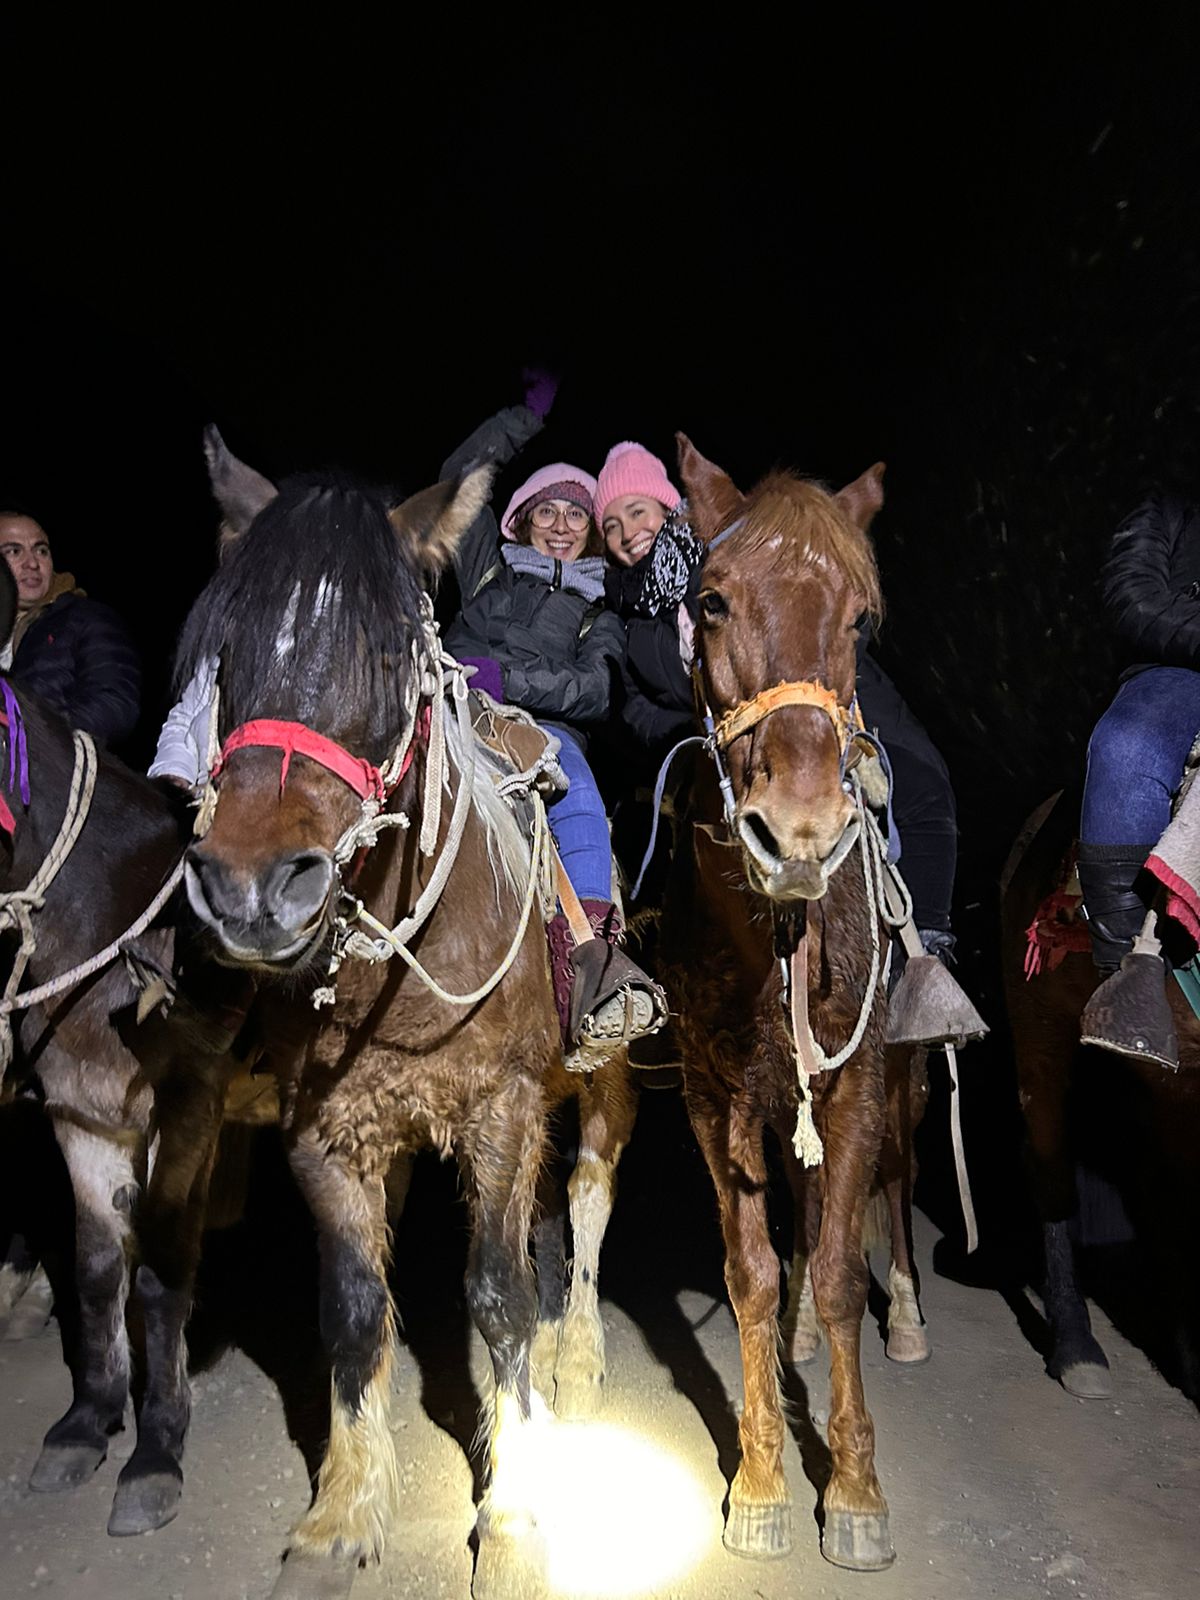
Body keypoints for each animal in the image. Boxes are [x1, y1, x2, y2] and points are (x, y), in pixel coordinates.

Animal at [180, 435, 640, 1600]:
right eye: (228, 650)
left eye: (393, 660)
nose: (251, 889)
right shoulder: (323, 1132)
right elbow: (354, 1311)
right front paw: (341, 1516)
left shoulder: (503, 1110)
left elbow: (498, 1296)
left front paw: (514, 1515)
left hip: (602, 1078)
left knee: (588, 1192)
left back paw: (576, 1353)